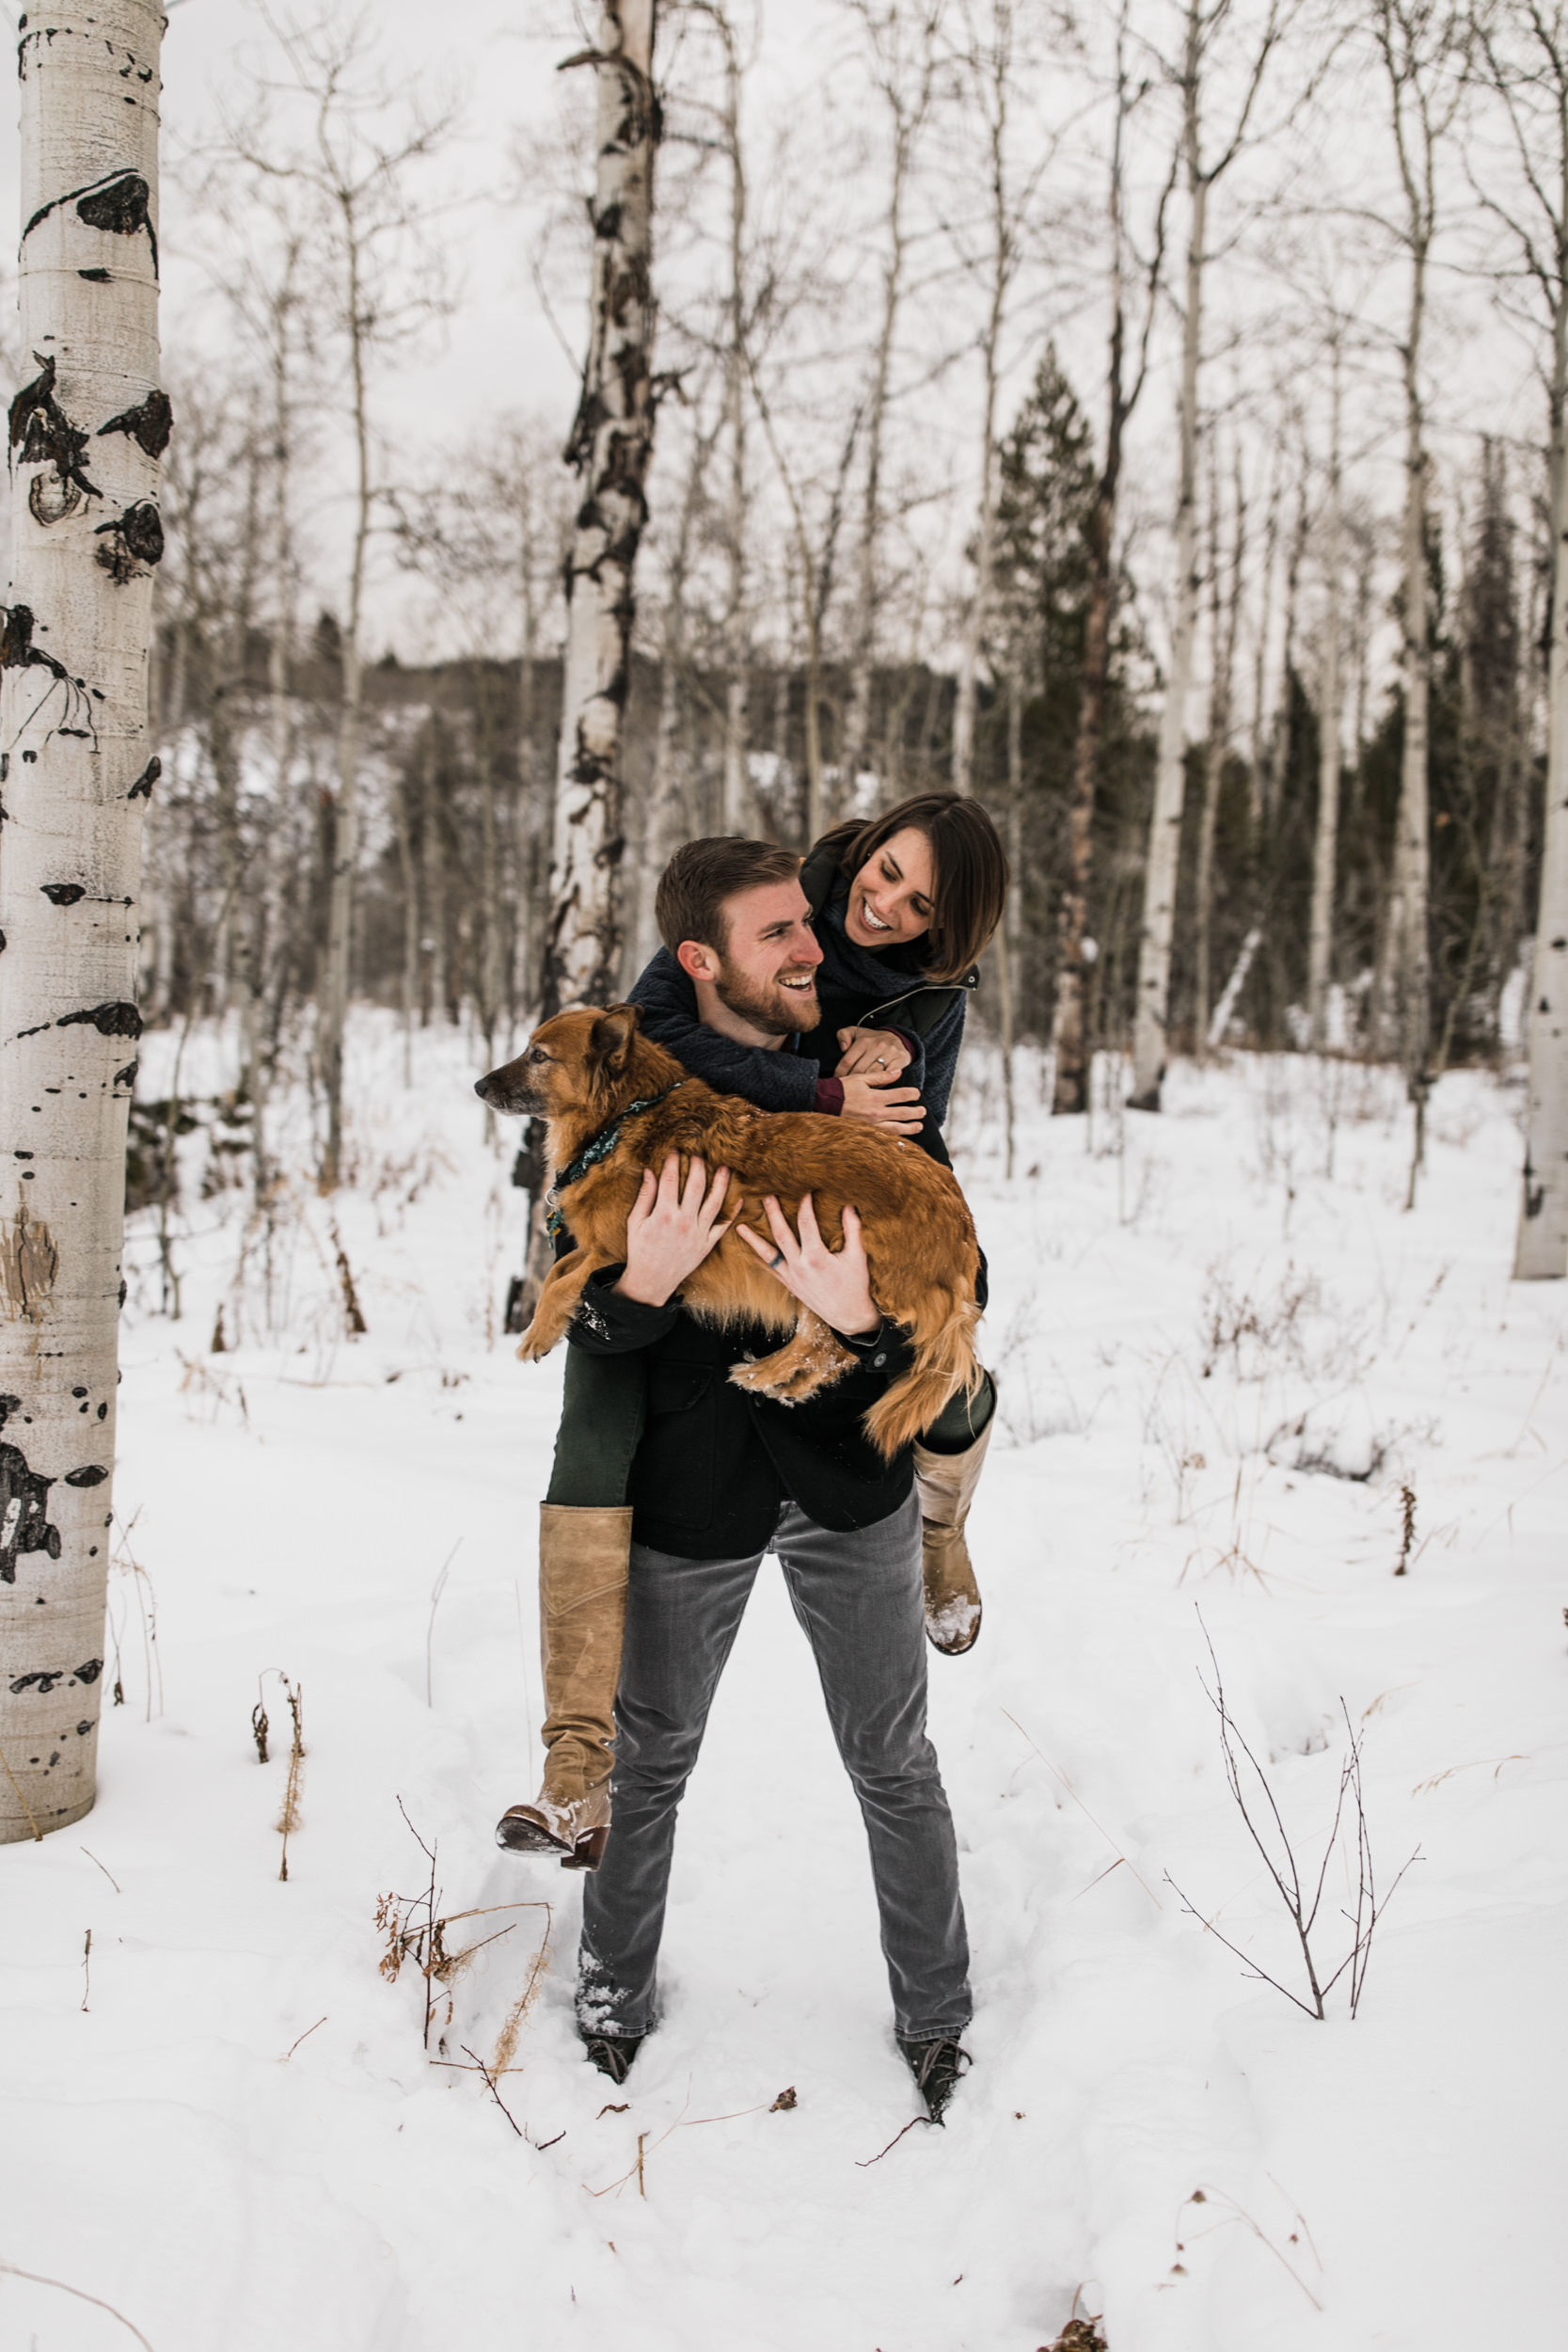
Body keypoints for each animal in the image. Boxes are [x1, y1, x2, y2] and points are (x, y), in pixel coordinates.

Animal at [483, 993, 987, 1449]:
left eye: (539, 1056)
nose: (479, 1086)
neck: (621, 1121)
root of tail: (961, 1222)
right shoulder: (597, 1249)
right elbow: (557, 1271)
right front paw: (539, 1324)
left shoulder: (618, 1248)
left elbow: (564, 1282)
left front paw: (537, 1335)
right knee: (832, 1349)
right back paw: (781, 1382)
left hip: (822, 1270)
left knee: (828, 1344)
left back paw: (762, 1375)